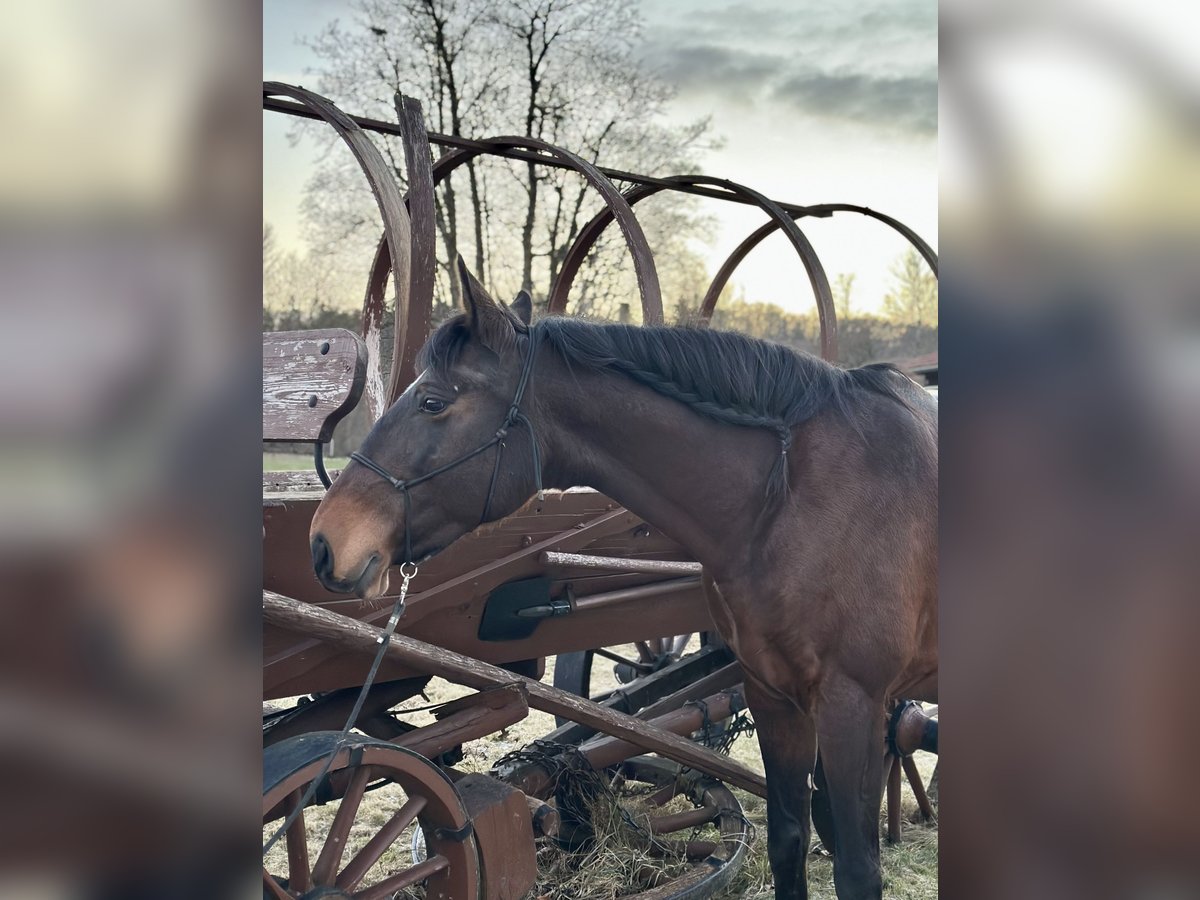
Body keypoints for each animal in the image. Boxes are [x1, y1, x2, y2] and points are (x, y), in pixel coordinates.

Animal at [309, 259, 936, 897]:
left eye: (433, 402)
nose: (326, 539)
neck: (794, 498)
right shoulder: (774, 695)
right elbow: (789, 840)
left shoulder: (851, 703)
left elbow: (857, 868)